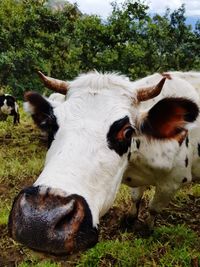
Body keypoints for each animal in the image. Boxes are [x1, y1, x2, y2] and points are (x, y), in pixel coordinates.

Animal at [9, 70, 200, 255]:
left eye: (127, 132)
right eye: (51, 125)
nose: (40, 221)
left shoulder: (173, 182)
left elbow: (153, 208)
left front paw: (146, 229)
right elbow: (136, 197)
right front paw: (130, 219)